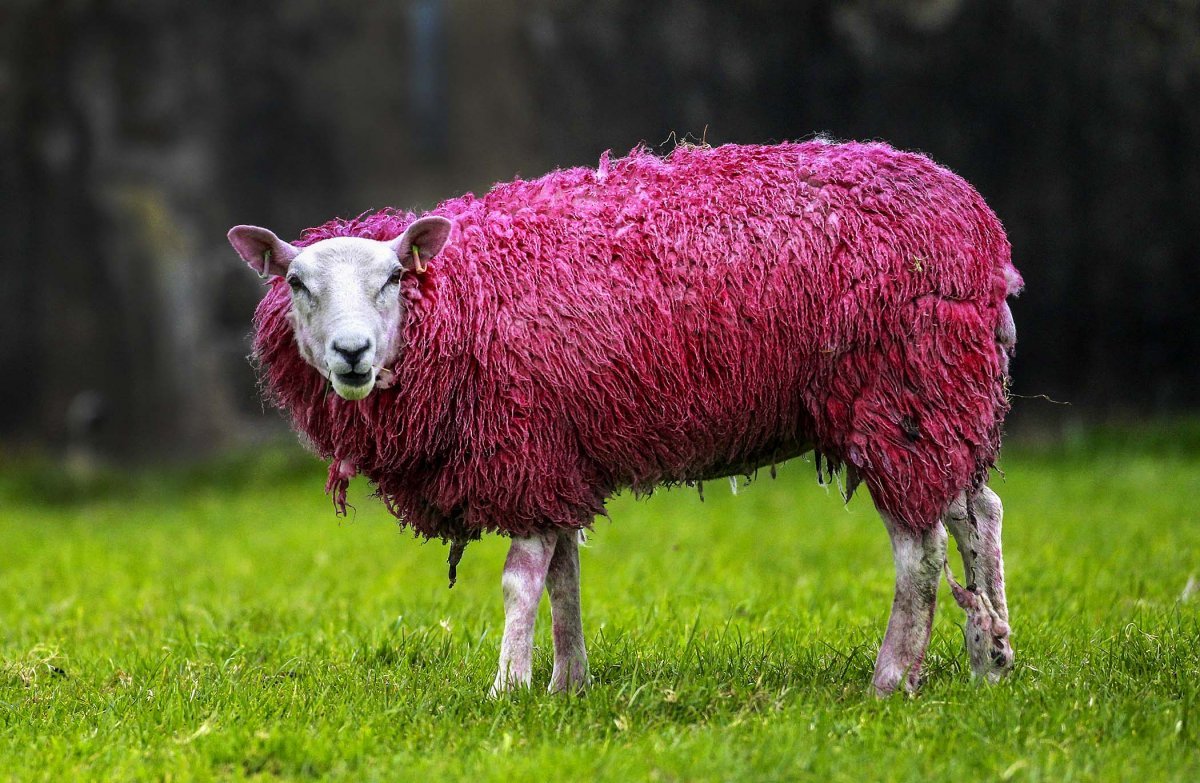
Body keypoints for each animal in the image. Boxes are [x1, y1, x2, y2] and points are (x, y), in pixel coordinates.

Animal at [227, 140, 1021, 696]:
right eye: (296, 282)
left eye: (394, 277)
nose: (352, 353)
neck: (457, 298)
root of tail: (981, 230)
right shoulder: (556, 457)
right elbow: (563, 577)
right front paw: (566, 683)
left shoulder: (527, 446)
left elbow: (521, 580)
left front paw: (507, 687)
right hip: (944, 395)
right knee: (976, 512)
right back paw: (991, 658)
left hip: (896, 392)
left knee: (920, 550)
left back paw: (891, 678)